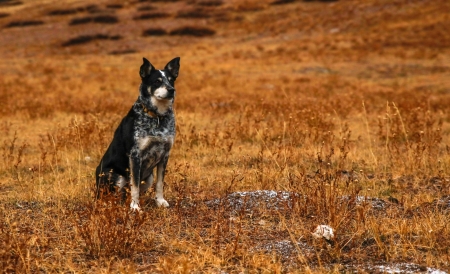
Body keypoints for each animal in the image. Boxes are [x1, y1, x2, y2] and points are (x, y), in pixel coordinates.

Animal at [96, 56, 180, 211]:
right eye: (157, 81)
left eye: (171, 80)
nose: (172, 90)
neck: (157, 117)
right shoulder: (135, 155)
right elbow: (134, 185)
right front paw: (135, 207)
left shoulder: (165, 155)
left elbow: (159, 183)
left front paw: (160, 201)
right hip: (114, 176)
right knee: (111, 196)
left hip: (148, 178)